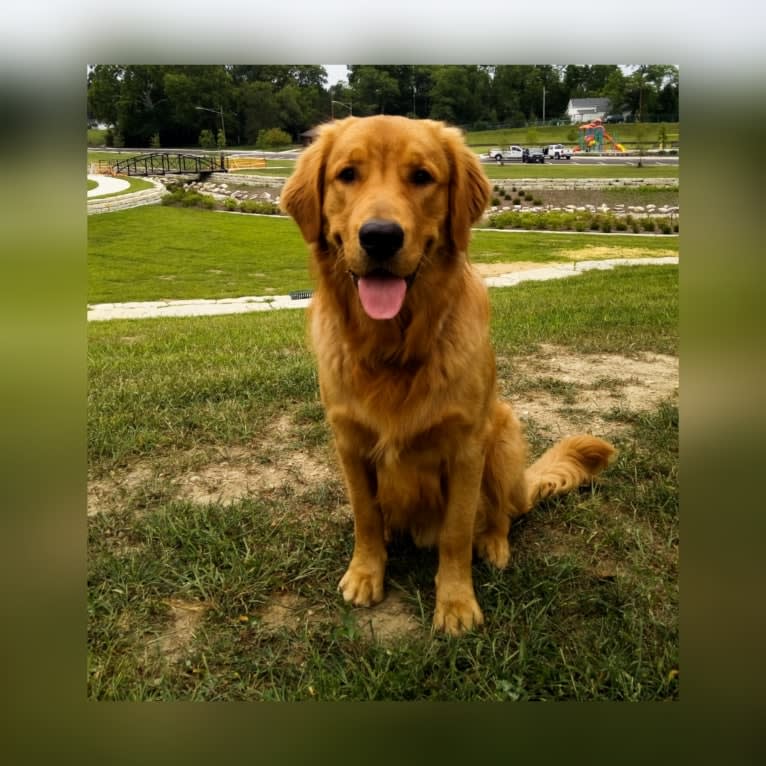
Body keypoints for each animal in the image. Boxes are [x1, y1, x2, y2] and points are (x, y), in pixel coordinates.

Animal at [282, 115, 616, 636]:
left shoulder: (465, 448)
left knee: (502, 514)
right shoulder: (349, 442)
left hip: (503, 434)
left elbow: (457, 532)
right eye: (347, 175)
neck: (393, 348)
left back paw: (495, 545)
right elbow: (365, 517)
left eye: (422, 177)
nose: (380, 236)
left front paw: (456, 602)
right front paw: (365, 573)